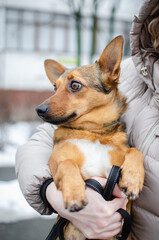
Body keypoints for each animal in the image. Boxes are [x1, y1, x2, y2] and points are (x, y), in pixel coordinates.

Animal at [36, 36, 145, 240]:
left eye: (75, 85)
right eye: (55, 87)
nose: (39, 110)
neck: (92, 131)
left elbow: (134, 150)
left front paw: (132, 180)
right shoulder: (55, 163)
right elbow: (67, 163)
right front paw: (74, 194)